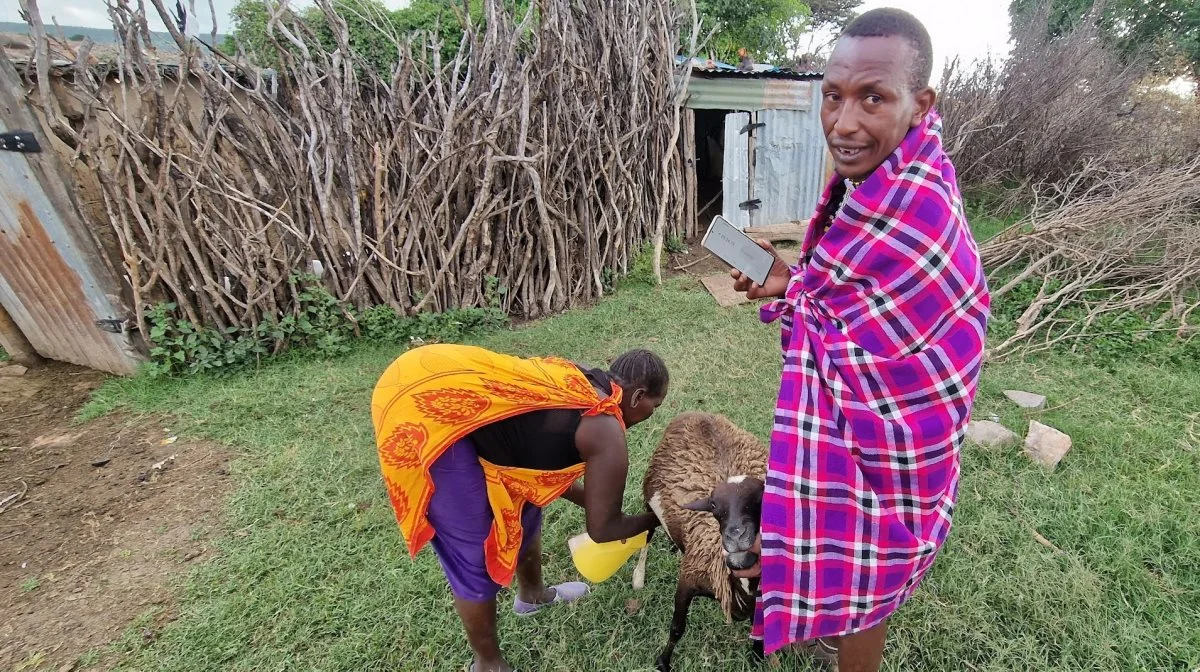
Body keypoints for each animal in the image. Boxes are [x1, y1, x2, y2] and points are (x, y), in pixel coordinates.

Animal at [638, 410, 768, 672]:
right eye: (714, 506)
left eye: (760, 498)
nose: (736, 537)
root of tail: (695, 413)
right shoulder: (689, 579)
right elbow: (677, 628)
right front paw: (663, 662)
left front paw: (758, 657)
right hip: (648, 500)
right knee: (647, 535)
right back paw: (639, 576)